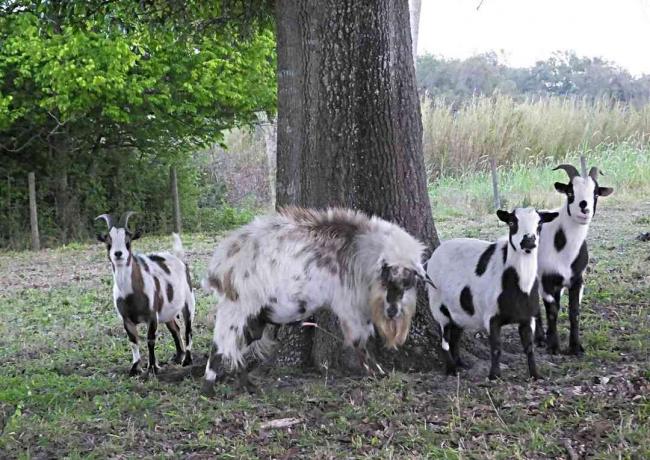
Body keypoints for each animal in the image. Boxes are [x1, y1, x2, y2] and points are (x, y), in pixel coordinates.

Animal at [95, 212, 194, 378]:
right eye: (108, 242)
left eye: (128, 241)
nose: (118, 254)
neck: (130, 294)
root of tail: (179, 259)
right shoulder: (126, 318)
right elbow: (133, 340)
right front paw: (135, 368)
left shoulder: (152, 315)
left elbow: (150, 339)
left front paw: (153, 367)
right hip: (168, 310)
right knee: (175, 328)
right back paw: (178, 357)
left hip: (188, 300)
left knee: (188, 329)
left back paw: (187, 360)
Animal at [197, 207, 430, 394]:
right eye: (386, 277)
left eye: (408, 282)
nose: (392, 311)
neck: (359, 249)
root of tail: (220, 267)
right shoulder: (349, 306)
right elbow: (361, 339)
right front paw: (377, 372)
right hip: (238, 306)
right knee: (221, 345)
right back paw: (209, 388)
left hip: (255, 315)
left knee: (235, 346)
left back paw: (246, 385)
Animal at [426, 208, 556, 380]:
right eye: (512, 222)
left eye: (540, 223)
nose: (528, 241)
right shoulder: (491, 317)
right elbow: (496, 348)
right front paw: (494, 375)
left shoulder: (528, 317)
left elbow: (529, 348)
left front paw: (535, 375)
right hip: (438, 306)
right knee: (445, 340)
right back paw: (451, 369)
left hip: (459, 310)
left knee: (455, 337)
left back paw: (460, 363)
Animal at [532, 164, 612, 354]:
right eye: (570, 193)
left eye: (596, 194)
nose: (584, 210)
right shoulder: (545, 279)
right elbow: (552, 311)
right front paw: (553, 346)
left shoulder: (577, 280)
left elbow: (574, 312)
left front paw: (575, 347)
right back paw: (539, 339)